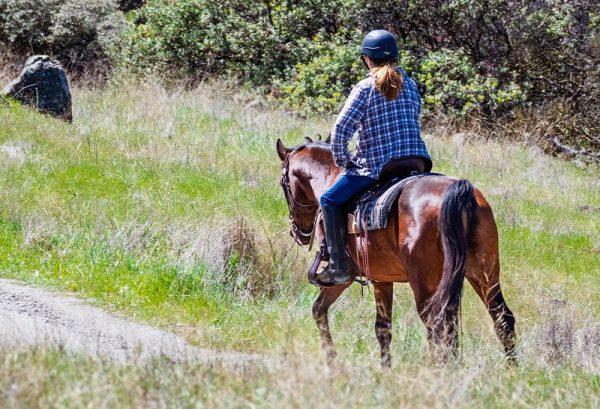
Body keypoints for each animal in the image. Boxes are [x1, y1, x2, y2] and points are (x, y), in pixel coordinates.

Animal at [276, 137, 516, 366]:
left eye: (283, 184)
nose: (297, 233)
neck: (330, 177)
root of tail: (459, 192)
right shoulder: (382, 279)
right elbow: (382, 328)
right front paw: (385, 369)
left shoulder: (344, 277)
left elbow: (319, 310)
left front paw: (332, 360)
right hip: (484, 274)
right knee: (501, 317)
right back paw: (511, 370)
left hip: (426, 283)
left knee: (436, 326)